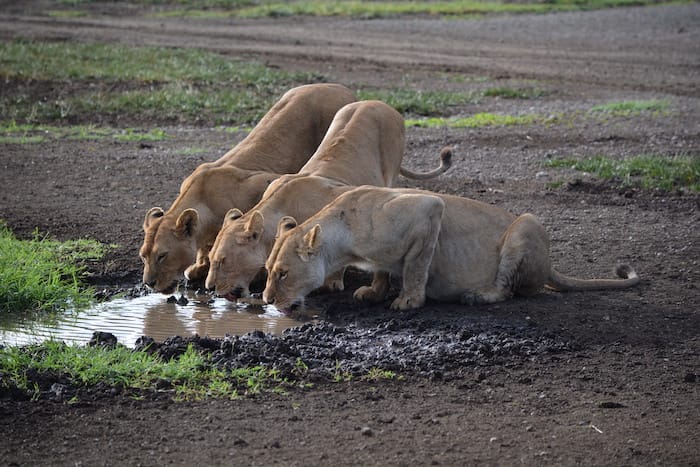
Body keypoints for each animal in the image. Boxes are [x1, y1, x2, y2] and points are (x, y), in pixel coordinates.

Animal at [139, 83, 356, 292]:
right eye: (143, 256)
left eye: (162, 255)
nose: (149, 283)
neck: (202, 194)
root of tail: (341, 88)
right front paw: (200, 266)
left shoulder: (265, 183)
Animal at [262, 185, 640, 312]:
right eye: (267, 271)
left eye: (282, 274)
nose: (265, 299)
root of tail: (550, 266)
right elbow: (384, 270)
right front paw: (373, 291)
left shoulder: (428, 210)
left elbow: (416, 267)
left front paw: (409, 301)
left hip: (527, 224)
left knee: (508, 289)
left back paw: (479, 296)